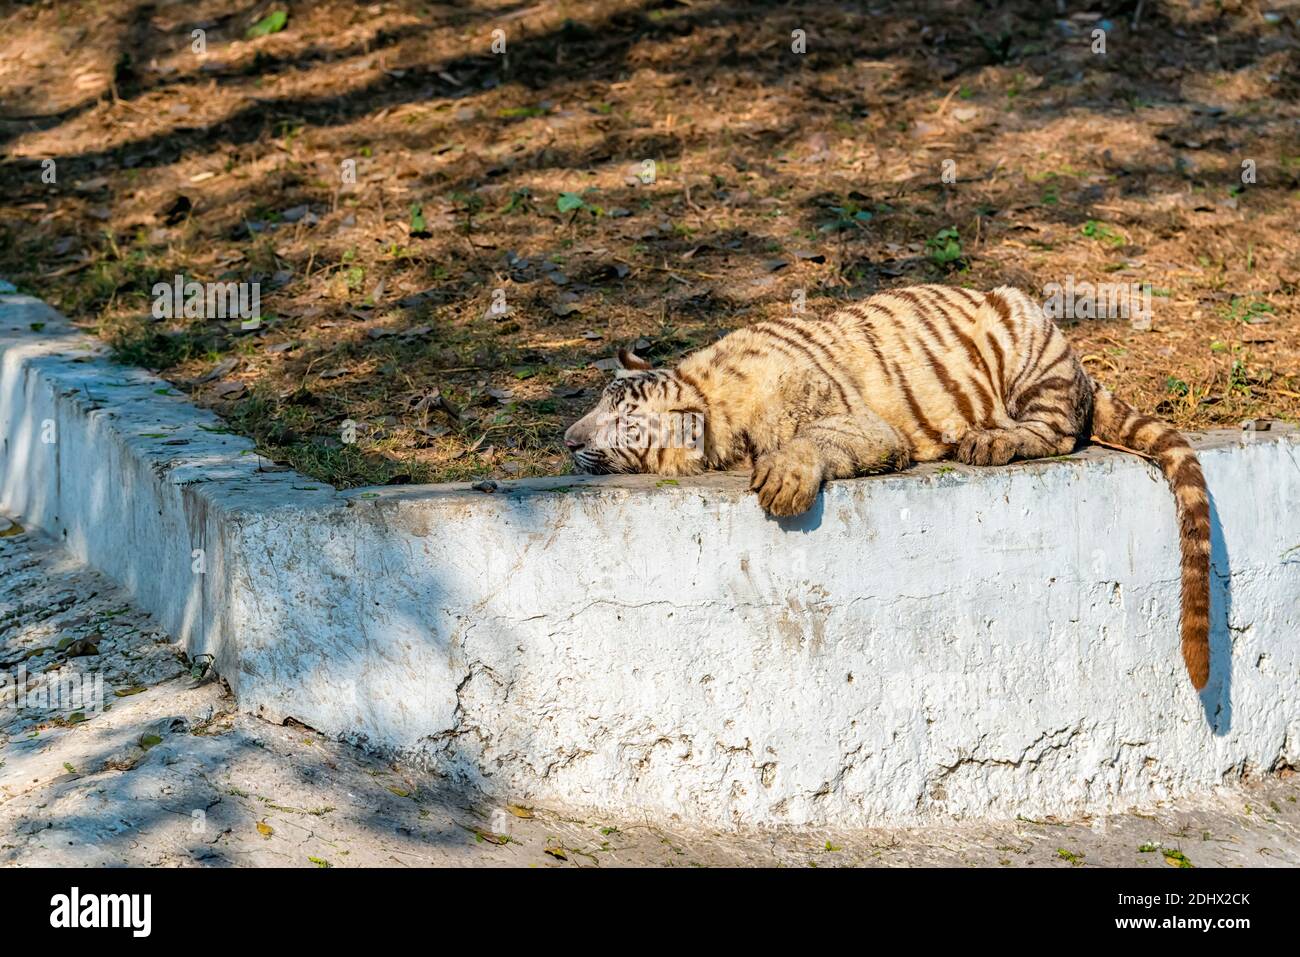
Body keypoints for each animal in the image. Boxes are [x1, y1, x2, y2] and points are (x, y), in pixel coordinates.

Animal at [564, 283, 1211, 686]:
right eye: (596, 405)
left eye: (622, 421)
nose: (567, 439)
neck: (711, 401)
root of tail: (1080, 366)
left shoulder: (866, 426)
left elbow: (815, 439)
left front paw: (785, 478)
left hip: (1025, 341)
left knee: (1057, 431)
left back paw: (990, 440)